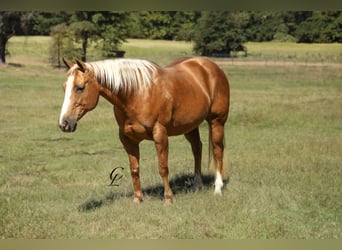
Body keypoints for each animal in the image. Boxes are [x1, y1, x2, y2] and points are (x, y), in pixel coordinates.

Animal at [58, 57, 230, 204]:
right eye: (65, 87)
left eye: (80, 88)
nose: (64, 123)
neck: (136, 93)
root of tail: (210, 66)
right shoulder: (127, 139)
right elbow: (134, 169)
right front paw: (137, 199)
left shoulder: (160, 134)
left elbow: (163, 168)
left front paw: (168, 198)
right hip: (190, 126)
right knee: (197, 149)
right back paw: (196, 186)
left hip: (216, 122)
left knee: (217, 150)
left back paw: (218, 188)